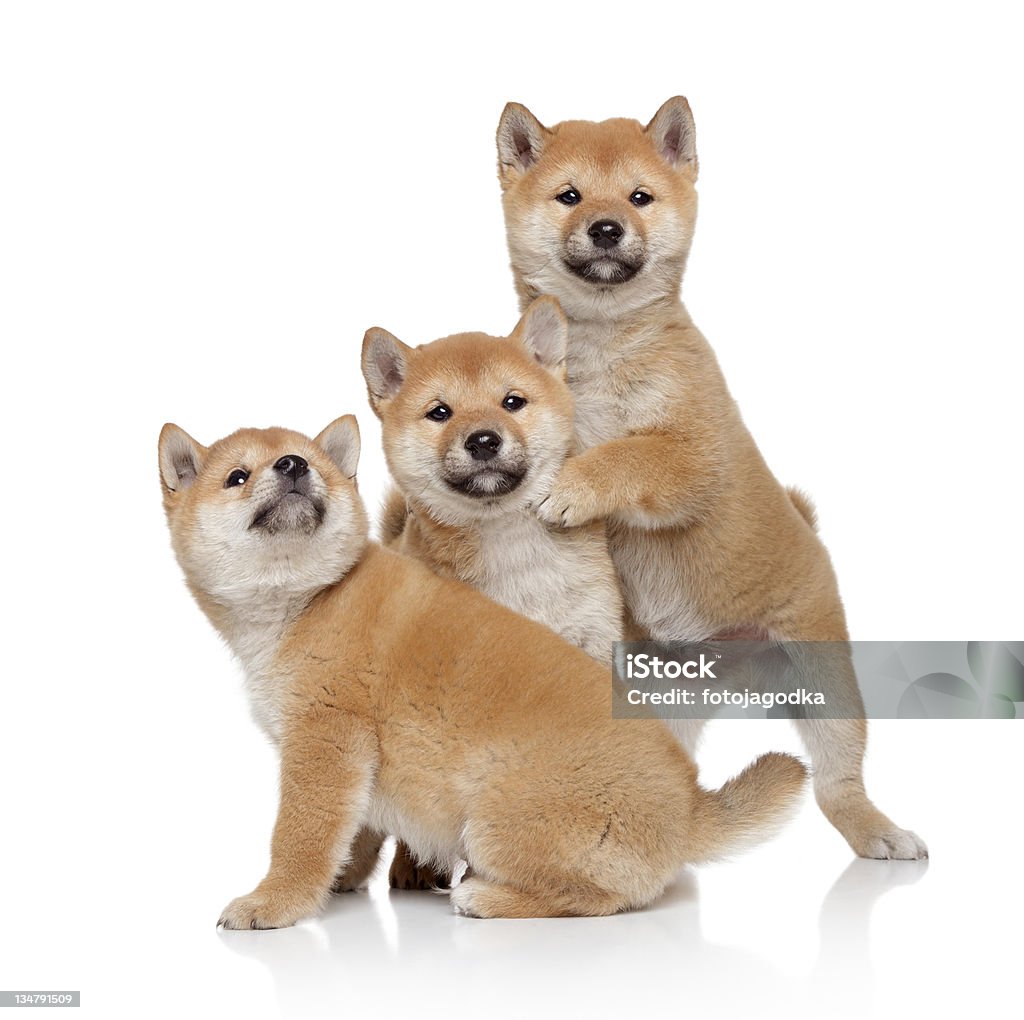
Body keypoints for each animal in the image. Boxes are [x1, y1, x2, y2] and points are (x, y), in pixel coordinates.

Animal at [157, 411, 806, 925]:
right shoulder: (349, 763)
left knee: (600, 899)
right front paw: (344, 878)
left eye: (309, 462)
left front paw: (275, 902)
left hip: (494, 819)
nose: (294, 465)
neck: (309, 601)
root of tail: (690, 805)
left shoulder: (324, 744)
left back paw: (487, 898)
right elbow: (354, 830)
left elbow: (299, 838)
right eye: (237, 477)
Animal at [495, 97, 929, 860]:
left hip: (825, 682)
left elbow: (626, 456)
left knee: (836, 782)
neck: (600, 355)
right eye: (570, 196)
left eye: (639, 197)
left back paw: (876, 830)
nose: (607, 227)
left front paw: (572, 486)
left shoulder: (697, 460)